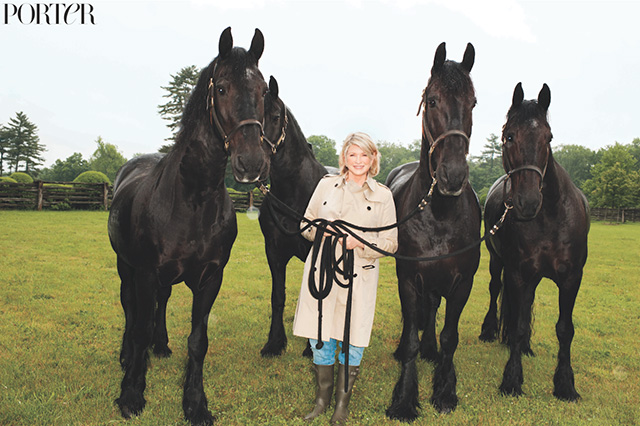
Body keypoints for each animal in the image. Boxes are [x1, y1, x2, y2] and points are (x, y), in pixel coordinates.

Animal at [109, 28, 268, 424]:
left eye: (263, 91)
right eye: (222, 88)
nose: (251, 162)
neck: (192, 200)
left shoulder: (211, 277)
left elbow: (198, 341)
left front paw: (195, 403)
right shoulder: (145, 272)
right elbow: (138, 327)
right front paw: (132, 393)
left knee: (160, 303)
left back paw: (161, 346)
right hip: (125, 267)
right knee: (130, 308)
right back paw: (128, 357)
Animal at [258, 75, 332, 356]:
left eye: (276, 116)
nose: (255, 161)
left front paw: (312, 350)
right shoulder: (274, 251)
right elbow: (277, 297)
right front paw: (274, 343)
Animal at [382, 41, 478, 422]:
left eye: (473, 103)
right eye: (433, 100)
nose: (453, 175)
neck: (438, 213)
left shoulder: (462, 283)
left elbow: (450, 335)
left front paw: (445, 390)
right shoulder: (408, 278)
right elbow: (409, 335)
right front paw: (405, 399)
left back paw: (431, 349)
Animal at [480, 84, 592, 402]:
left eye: (548, 137)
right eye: (509, 136)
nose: (527, 203)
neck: (550, 216)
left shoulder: (571, 278)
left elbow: (565, 329)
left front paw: (565, 385)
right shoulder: (518, 273)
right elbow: (517, 325)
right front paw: (511, 380)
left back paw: (527, 348)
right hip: (497, 263)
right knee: (496, 290)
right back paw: (491, 331)